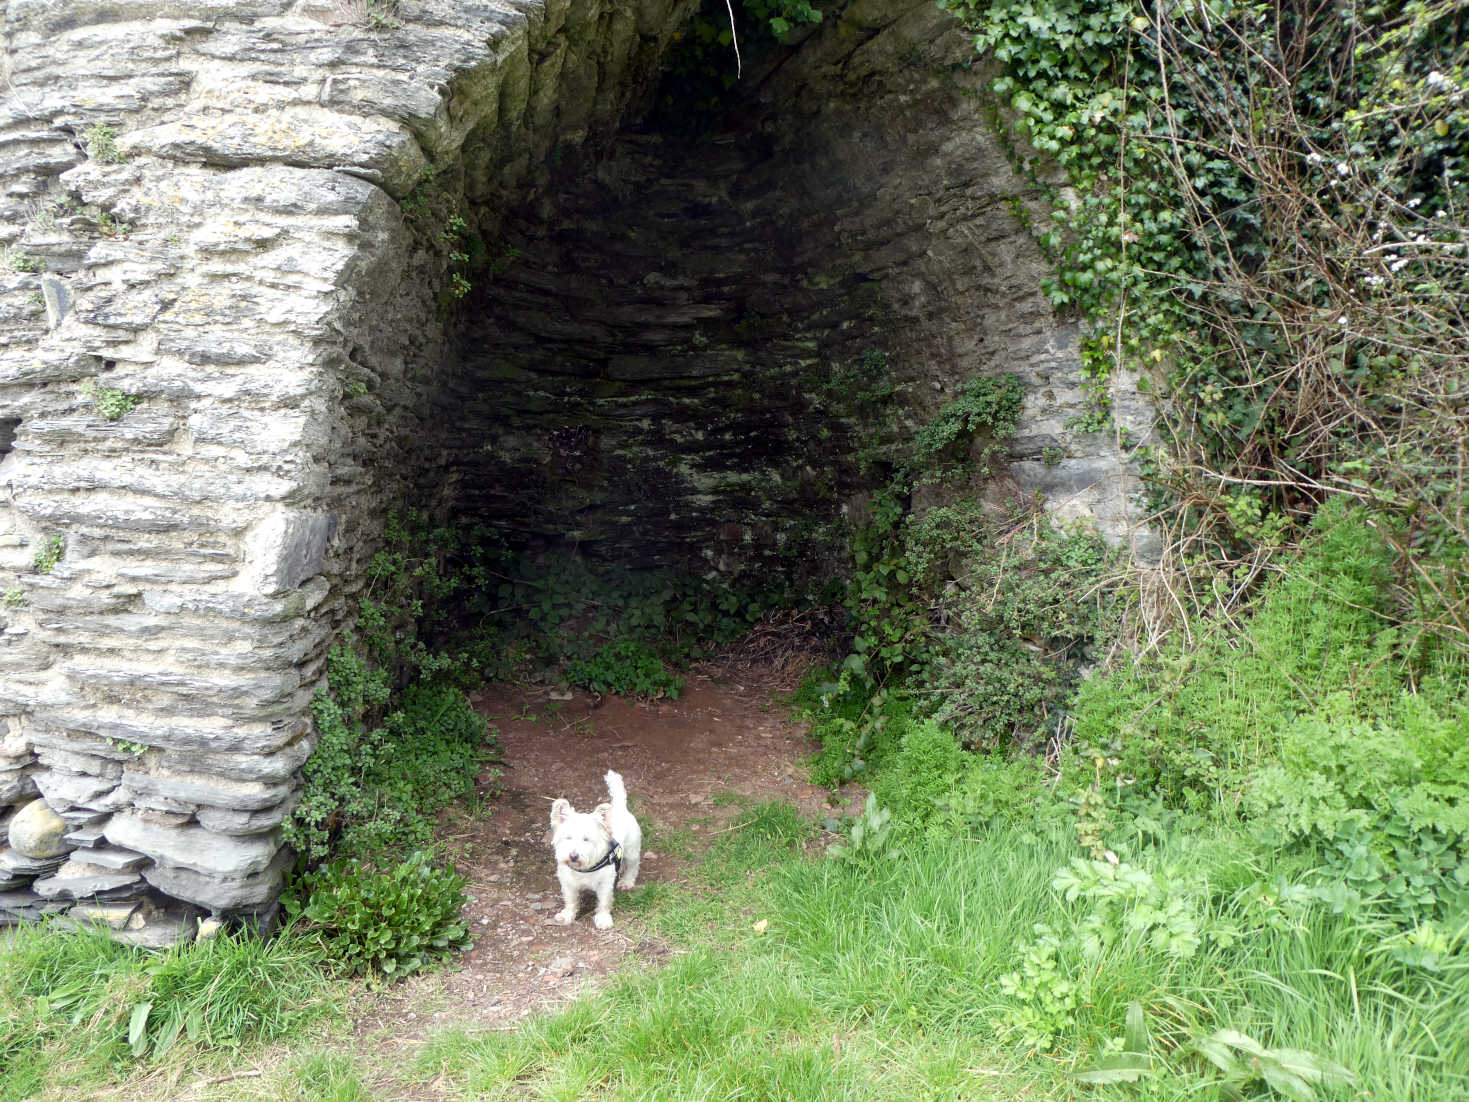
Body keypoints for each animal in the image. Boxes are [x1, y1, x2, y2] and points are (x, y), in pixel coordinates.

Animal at [552, 775, 643, 934]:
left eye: (586, 839)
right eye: (568, 837)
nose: (573, 856)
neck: (584, 869)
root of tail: (620, 808)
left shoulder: (604, 884)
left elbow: (604, 902)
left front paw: (603, 919)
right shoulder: (568, 883)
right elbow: (570, 900)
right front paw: (567, 915)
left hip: (632, 851)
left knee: (633, 866)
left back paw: (627, 882)